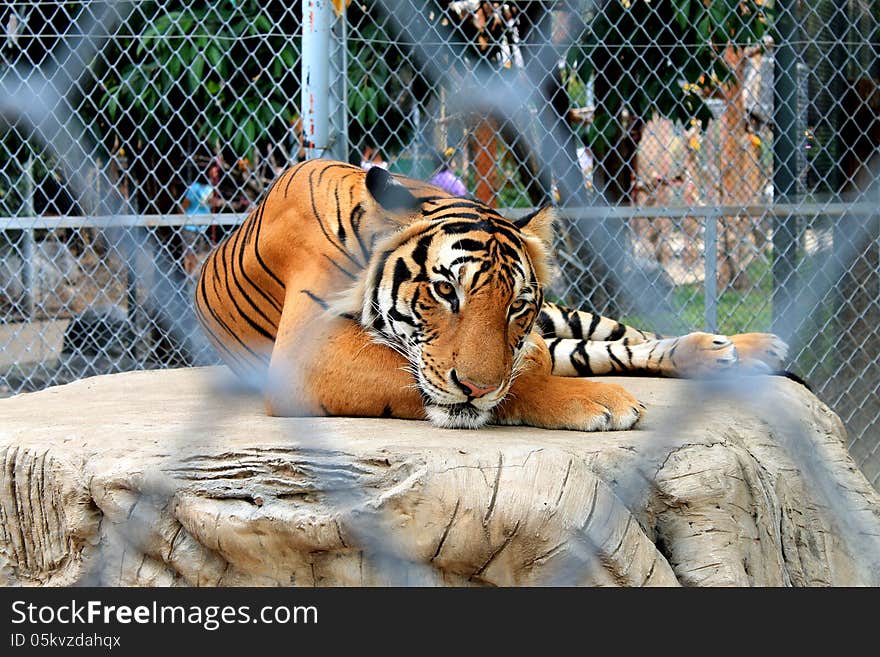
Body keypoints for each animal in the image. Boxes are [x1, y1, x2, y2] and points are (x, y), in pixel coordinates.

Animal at [192, 159, 784, 430]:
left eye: (516, 305)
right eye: (444, 290)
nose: (474, 386)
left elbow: (522, 368)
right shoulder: (303, 349)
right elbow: (508, 381)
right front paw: (595, 400)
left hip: (573, 320)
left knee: (622, 338)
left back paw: (746, 348)